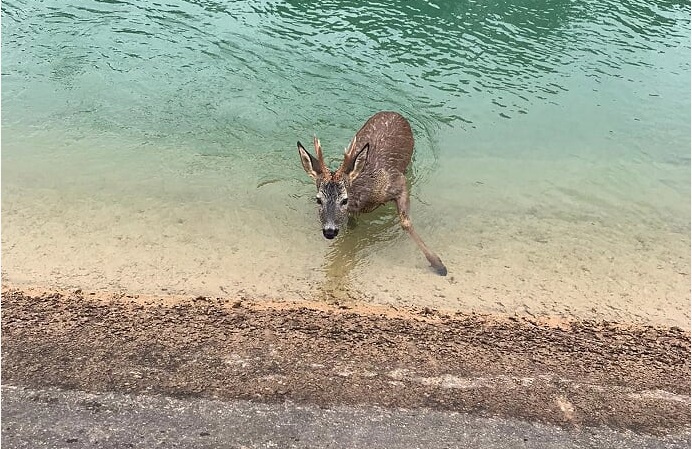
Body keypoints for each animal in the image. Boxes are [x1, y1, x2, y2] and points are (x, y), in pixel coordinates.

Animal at [294, 110, 446, 274]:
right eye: (318, 199)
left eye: (344, 200)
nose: (329, 231)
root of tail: (393, 112)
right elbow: (352, 227)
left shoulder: (398, 182)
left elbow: (406, 222)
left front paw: (438, 264)